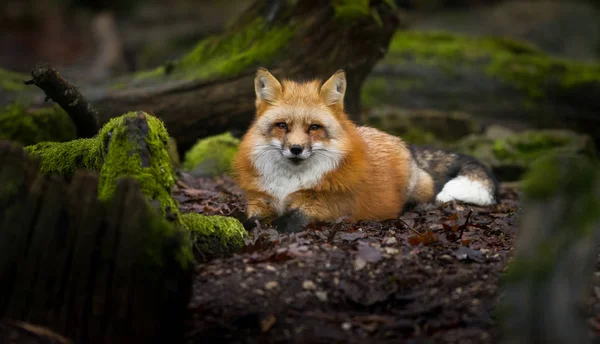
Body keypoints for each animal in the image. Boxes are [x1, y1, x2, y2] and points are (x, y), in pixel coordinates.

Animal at [232, 68, 500, 231]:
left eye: (314, 127)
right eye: (282, 126)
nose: (296, 149)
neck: (288, 184)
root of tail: (401, 141)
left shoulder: (324, 207)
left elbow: (285, 222)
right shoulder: (260, 201)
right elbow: (246, 220)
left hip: (416, 189)